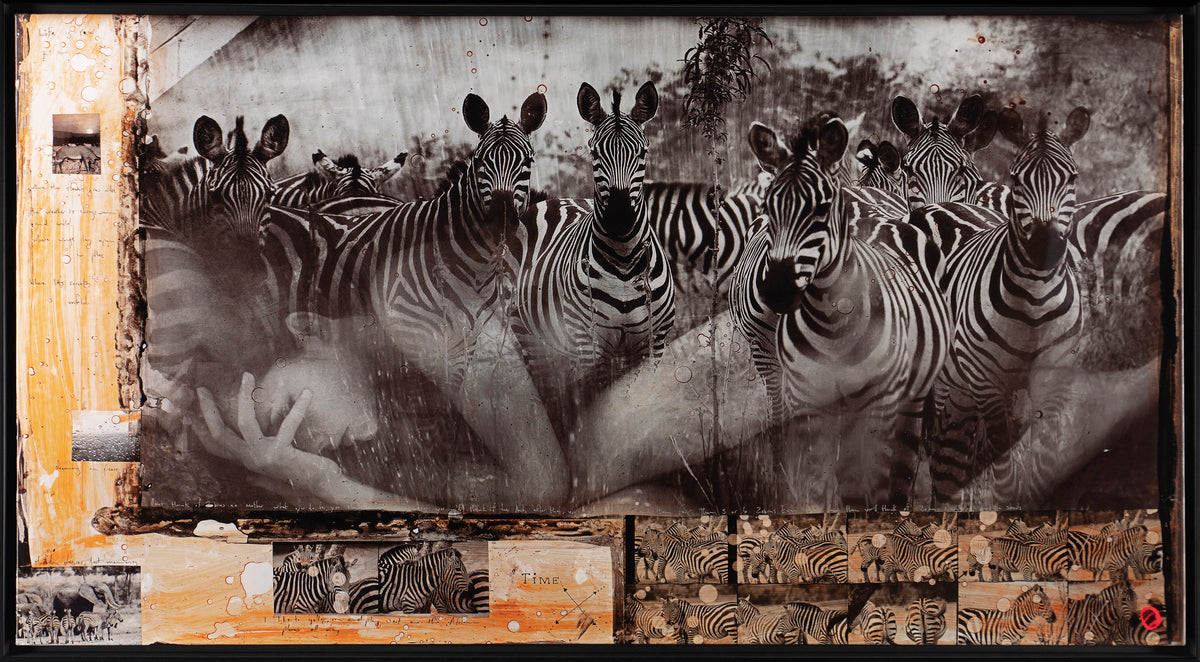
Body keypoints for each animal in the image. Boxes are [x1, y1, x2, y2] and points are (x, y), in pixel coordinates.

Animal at [512, 80, 674, 394]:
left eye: (642, 153)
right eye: (596, 155)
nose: (620, 217)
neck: (624, 262)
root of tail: (549, 201)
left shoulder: (655, 342)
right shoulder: (590, 344)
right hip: (529, 338)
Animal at [927, 106, 1092, 506]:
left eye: (1072, 177)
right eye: (1017, 180)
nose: (1044, 246)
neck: (1034, 299)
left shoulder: (1054, 381)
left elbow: (1044, 462)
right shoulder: (988, 384)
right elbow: (1003, 472)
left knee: (954, 456)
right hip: (948, 382)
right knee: (941, 453)